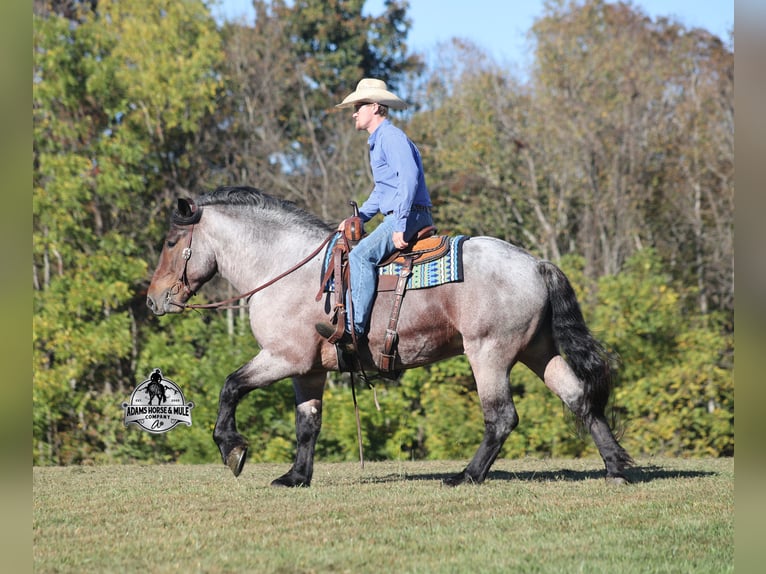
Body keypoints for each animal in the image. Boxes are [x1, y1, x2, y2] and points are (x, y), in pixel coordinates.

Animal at [146, 185, 632, 487]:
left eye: (171, 242)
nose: (153, 301)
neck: (284, 268)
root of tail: (536, 263)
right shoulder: (307, 369)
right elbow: (308, 424)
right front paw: (296, 477)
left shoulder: (283, 357)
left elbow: (230, 386)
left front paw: (232, 449)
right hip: (537, 351)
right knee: (579, 398)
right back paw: (616, 467)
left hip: (489, 354)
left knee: (501, 417)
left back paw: (467, 475)